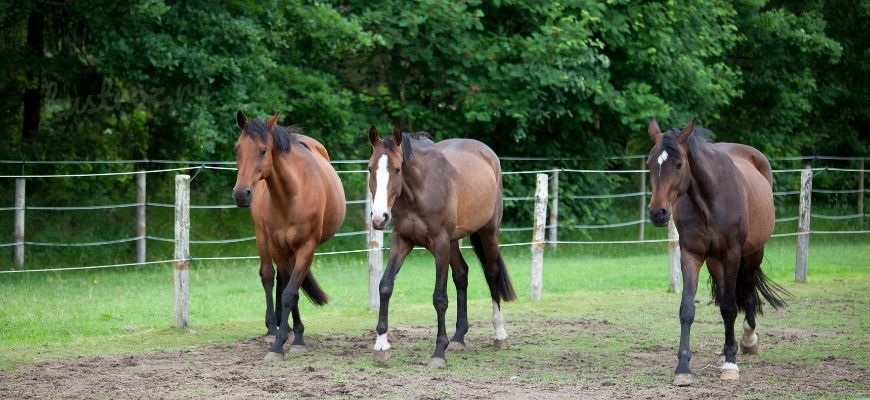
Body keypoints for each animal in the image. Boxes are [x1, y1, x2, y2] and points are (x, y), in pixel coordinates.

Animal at [233, 111, 346, 360]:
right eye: (237, 149)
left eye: (263, 150)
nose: (241, 194)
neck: (291, 195)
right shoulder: (277, 247)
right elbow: (286, 290)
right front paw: (281, 340)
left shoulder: (306, 247)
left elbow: (289, 293)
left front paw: (292, 340)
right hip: (263, 239)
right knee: (268, 275)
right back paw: (272, 326)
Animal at [368, 123, 516, 368]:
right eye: (370, 168)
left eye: (397, 169)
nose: (379, 218)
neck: (420, 190)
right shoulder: (402, 240)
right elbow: (385, 286)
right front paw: (381, 345)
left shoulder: (440, 244)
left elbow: (440, 298)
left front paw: (438, 352)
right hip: (454, 242)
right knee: (461, 274)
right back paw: (458, 337)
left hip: (487, 232)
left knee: (492, 273)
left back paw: (500, 334)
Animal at [648, 118, 792, 384]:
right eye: (650, 164)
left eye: (679, 164)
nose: (657, 213)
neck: (709, 201)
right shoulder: (691, 255)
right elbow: (687, 309)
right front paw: (683, 367)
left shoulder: (732, 255)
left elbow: (729, 308)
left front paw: (730, 364)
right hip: (715, 262)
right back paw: (729, 346)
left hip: (753, 254)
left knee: (747, 293)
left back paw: (746, 340)